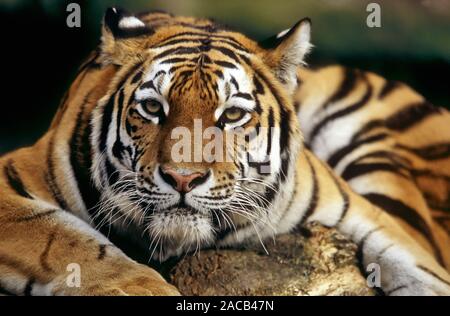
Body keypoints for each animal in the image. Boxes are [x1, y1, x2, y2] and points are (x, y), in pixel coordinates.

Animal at [0, 8, 448, 296]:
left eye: (231, 114)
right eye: (153, 108)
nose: (183, 178)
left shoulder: (372, 220)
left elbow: (420, 271)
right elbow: (67, 242)